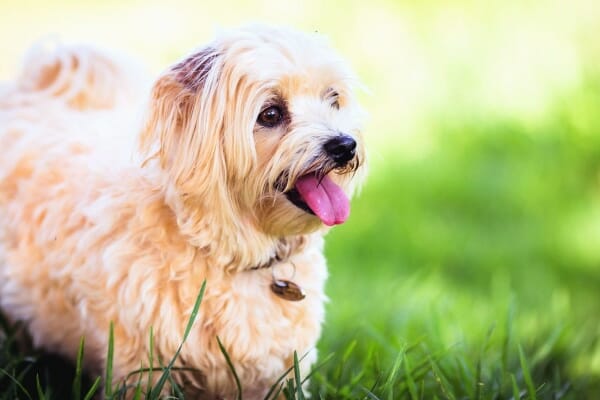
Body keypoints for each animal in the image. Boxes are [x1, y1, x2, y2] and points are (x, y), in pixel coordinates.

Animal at [0, 25, 366, 400]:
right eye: (271, 113)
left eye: (333, 98)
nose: (344, 145)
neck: (228, 251)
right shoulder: (143, 368)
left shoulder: (277, 374)